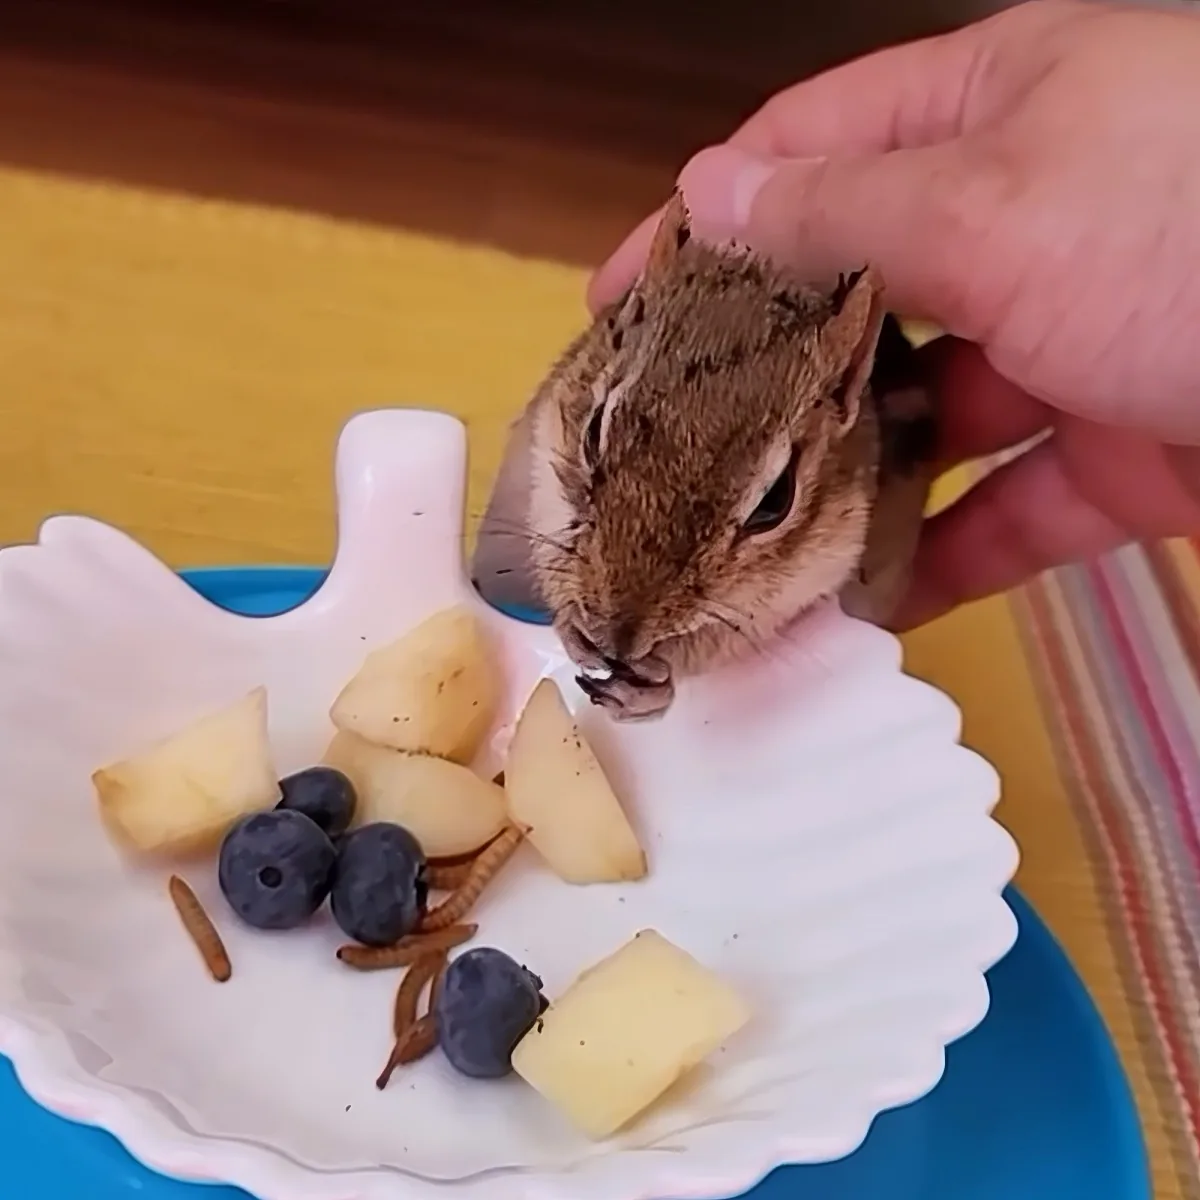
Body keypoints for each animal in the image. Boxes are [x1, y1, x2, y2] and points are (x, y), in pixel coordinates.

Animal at [472, 191, 936, 720]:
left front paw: (652, 687)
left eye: (776, 502)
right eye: (592, 430)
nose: (616, 644)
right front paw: (571, 625)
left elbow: (713, 645)